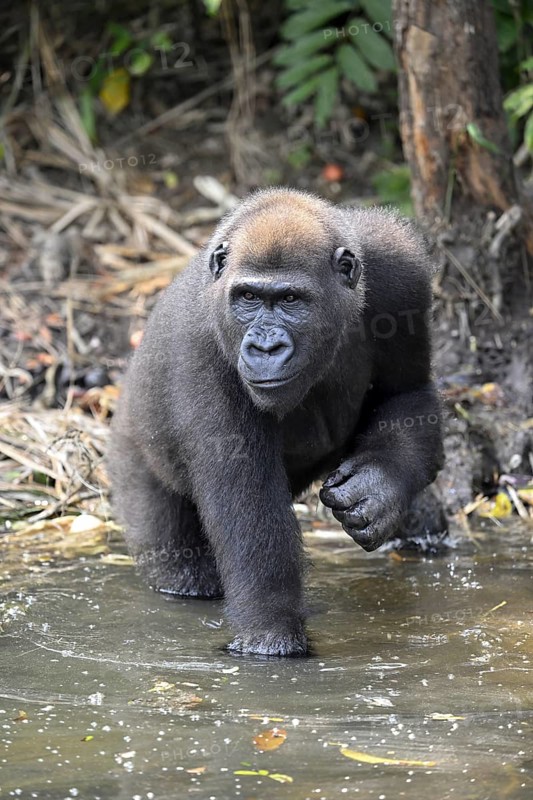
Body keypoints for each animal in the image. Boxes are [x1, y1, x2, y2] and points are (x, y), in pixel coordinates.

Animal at [108, 187, 445, 657]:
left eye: (290, 300)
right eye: (249, 298)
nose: (265, 347)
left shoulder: (401, 268)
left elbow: (406, 392)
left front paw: (379, 488)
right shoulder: (202, 346)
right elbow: (248, 507)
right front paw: (272, 637)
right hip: (131, 455)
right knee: (173, 553)